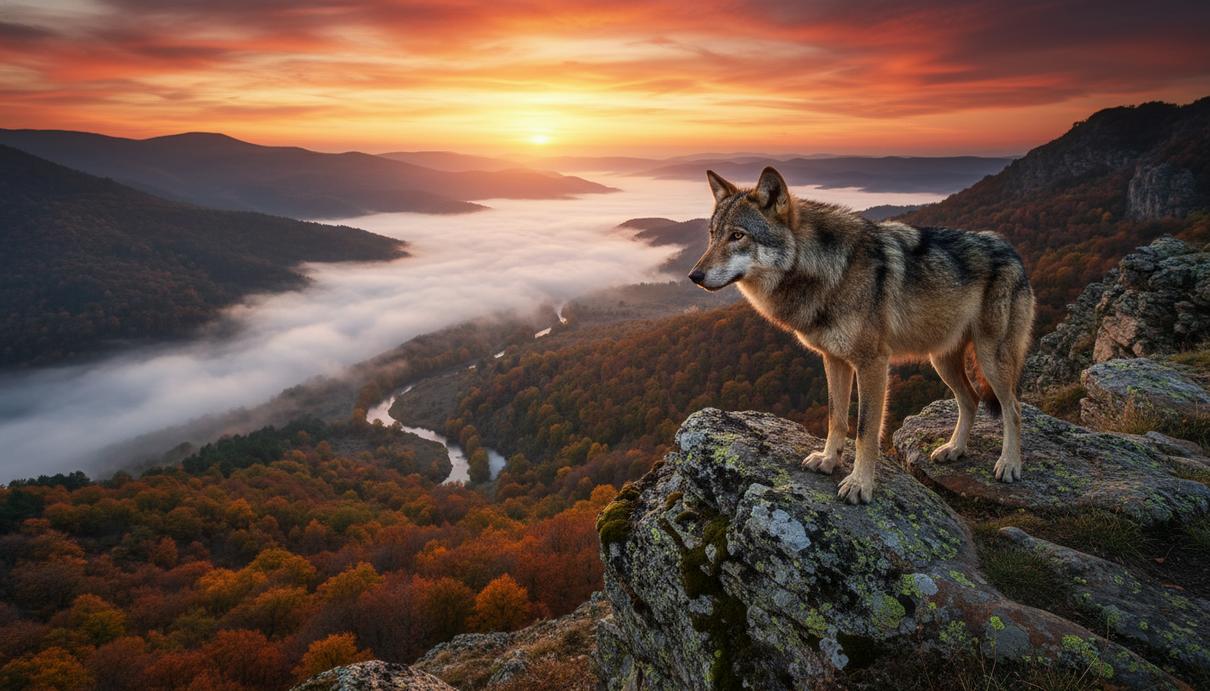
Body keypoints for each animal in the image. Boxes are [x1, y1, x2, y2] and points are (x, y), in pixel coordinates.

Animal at [690, 167, 1035, 503]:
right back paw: (955, 449)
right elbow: (836, 417)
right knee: (971, 400)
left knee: (1013, 408)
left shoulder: (873, 364)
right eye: (712, 235)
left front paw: (859, 484)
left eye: (737, 236)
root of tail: (1012, 251)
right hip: (942, 360)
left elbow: (865, 429)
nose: (694, 276)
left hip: (990, 358)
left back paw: (1009, 464)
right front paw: (828, 460)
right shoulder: (834, 360)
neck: (828, 271)